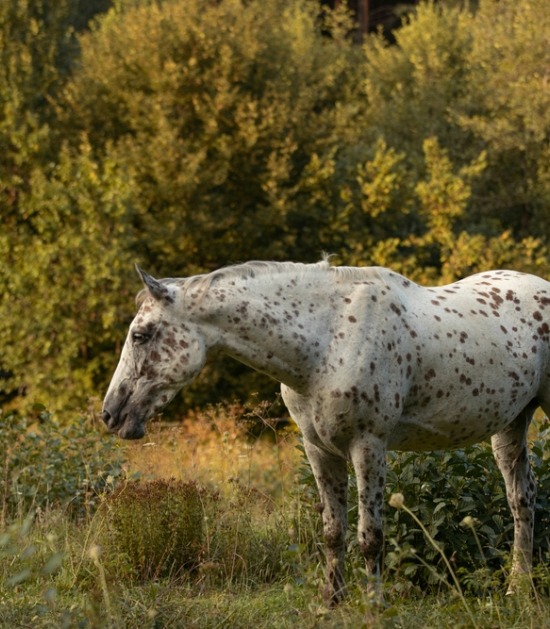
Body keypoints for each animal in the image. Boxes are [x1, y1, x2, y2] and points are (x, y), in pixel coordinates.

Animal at [101, 260, 548, 604]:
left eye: (140, 335)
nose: (110, 414)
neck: (327, 339)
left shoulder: (368, 446)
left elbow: (371, 536)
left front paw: (373, 605)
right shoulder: (319, 449)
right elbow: (333, 532)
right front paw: (332, 600)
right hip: (509, 427)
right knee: (521, 500)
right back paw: (517, 589)